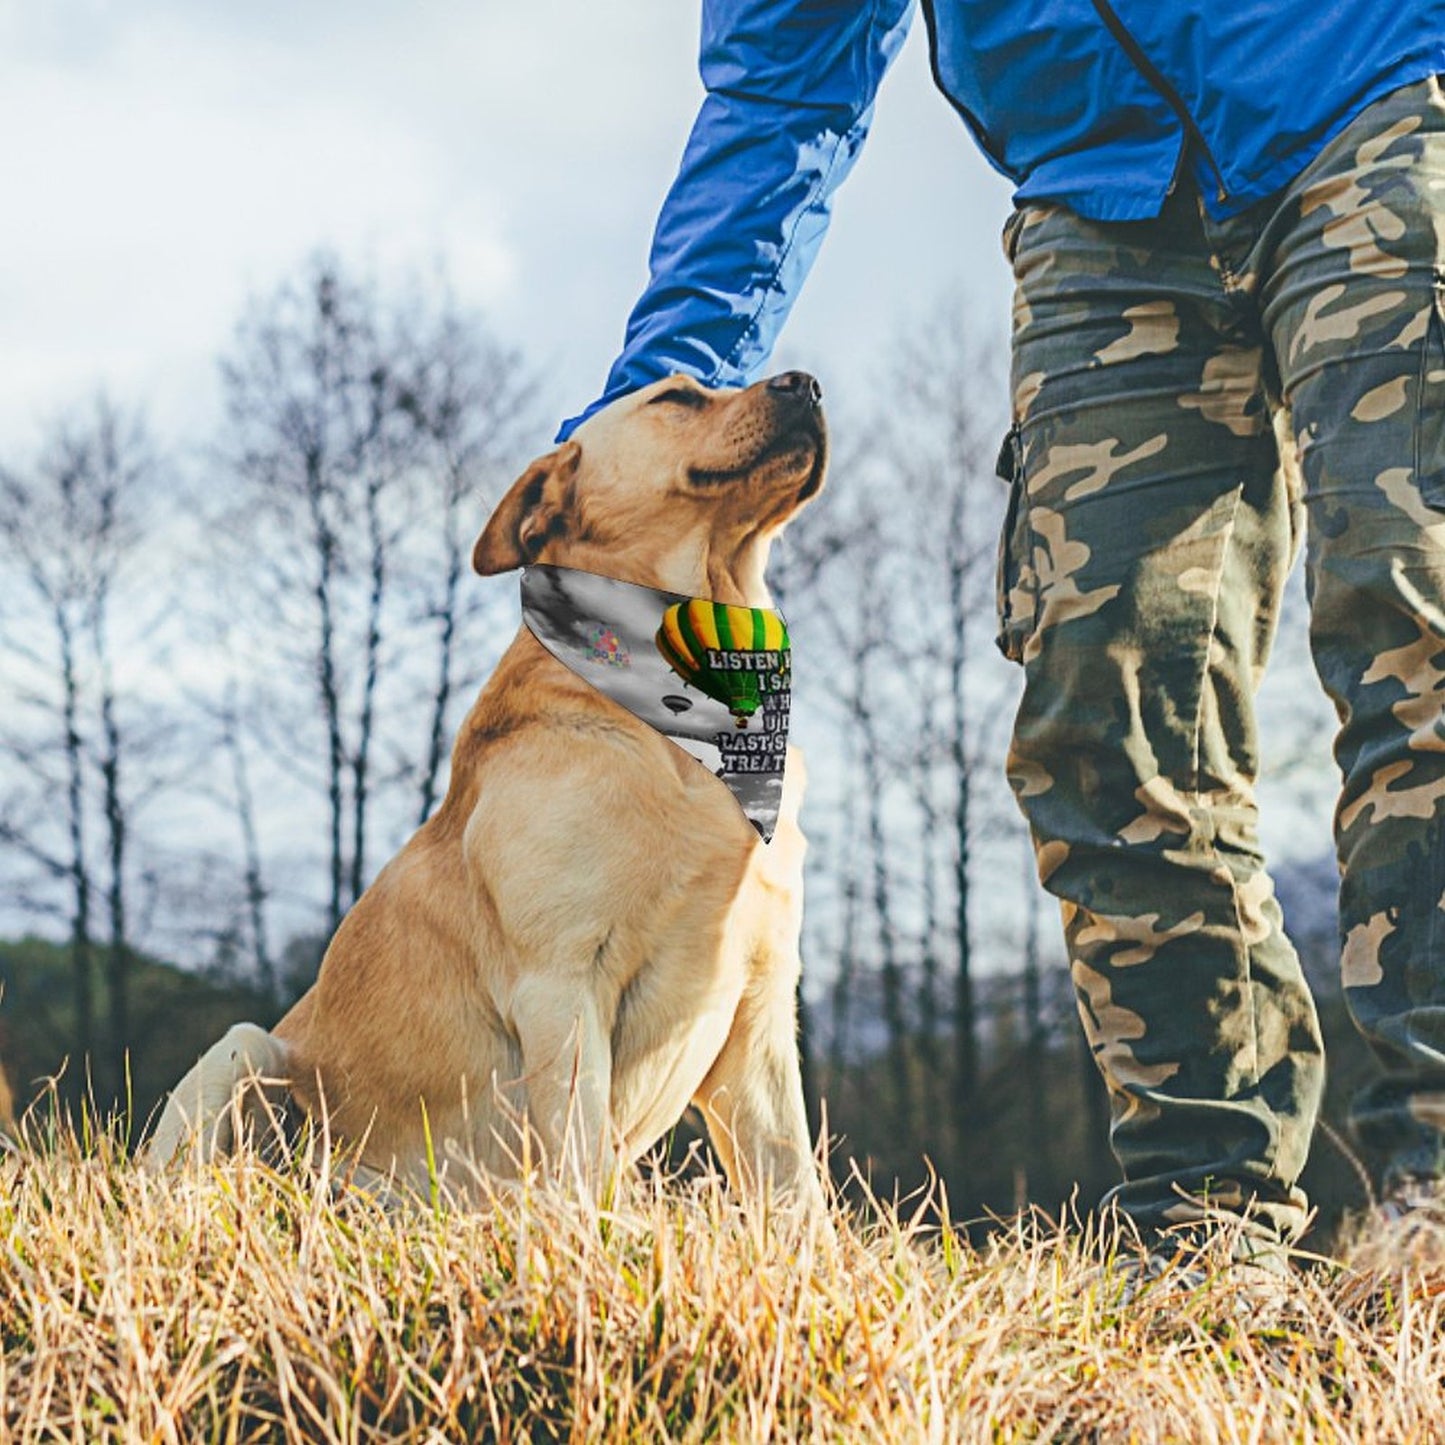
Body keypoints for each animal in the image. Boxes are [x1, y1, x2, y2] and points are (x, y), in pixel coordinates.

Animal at [148, 372, 832, 1208]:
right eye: (675, 397)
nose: (806, 383)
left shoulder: (760, 1002)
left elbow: (797, 1191)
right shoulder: (561, 982)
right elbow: (583, 1164)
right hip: (244, 1052)